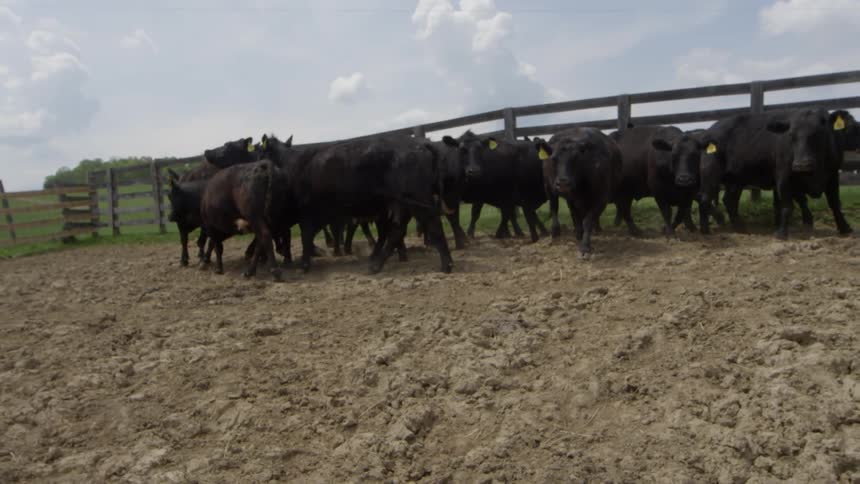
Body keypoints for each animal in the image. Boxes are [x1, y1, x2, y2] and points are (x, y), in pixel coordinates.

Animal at [535, 128, 622, 258]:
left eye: (576, 158)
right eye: (554, 159)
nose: (563, 183)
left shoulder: (601, 198)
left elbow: (587, 220)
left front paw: (585, 246)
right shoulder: (571, 199)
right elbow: (577, 217)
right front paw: (579, 236)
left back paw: (595, 229)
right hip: (549, 188)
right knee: (554, 207)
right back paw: (556, 232)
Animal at [700, 108, 852, 239]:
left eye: (819, 134)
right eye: (791, 136)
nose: (802, 164)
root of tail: (711, 130)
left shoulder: (832, 175)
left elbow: (834, 204)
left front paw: (845, 228)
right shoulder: (783, 178)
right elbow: (787, 206)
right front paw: (782, 233)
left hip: (736, 180)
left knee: (729, 200)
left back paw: (741, 229)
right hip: (711, 173)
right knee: (705, 199)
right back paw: (706, 229)